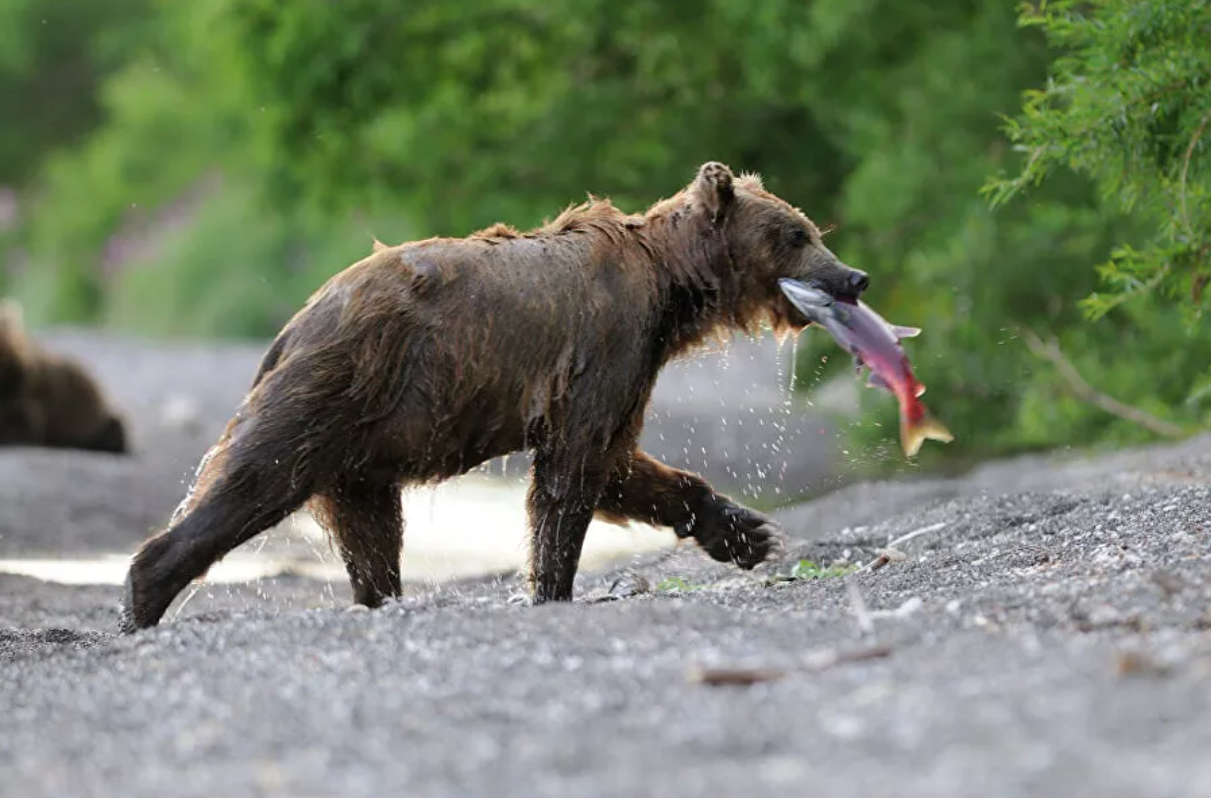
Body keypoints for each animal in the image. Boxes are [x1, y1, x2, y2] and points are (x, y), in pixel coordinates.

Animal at [118, 162, 867, 634]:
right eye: (797, 233)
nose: (854, 276)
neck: (669, 291)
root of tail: (294, 323)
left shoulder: (628, 372)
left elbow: (622, 466)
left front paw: (744, 532)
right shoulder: (604, 346)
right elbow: (571, 474)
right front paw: (554, 586)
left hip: (360, 446)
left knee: (371, 534)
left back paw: (380, 598)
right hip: (334, 389)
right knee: (255, 479)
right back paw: (143, 597)